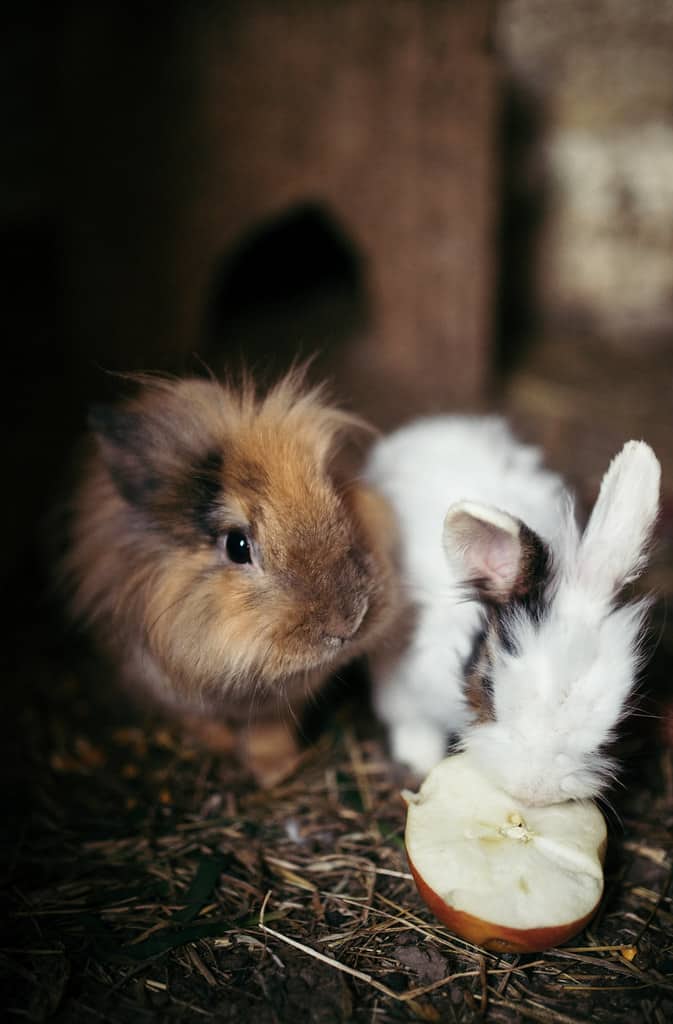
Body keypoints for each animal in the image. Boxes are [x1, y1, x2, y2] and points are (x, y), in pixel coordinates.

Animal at [58, 371, 400, 770]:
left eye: (338, 503)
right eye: (237, 545)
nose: (348, 623)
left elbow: (269, 735)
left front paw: (277, 769)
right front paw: (227, 751)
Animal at [364, 415, 661, 805]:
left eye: (617, 712)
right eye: (487, 681)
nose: (533, 791)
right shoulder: (401, 677)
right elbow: (412, 723)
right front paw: (420, 760)